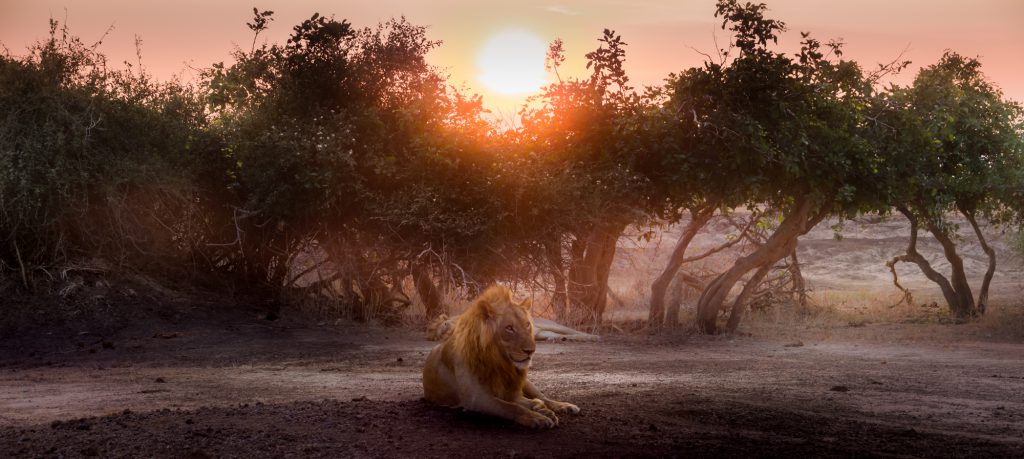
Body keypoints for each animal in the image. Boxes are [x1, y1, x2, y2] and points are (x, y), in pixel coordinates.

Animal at [419, 284, 581, 428]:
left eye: (527, 324)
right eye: (509, 328)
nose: (531, 350)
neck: (500, 362)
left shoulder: (510, 392)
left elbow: (523, 402)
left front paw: (541, 411)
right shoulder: (476, 397)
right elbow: (511, 407)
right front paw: (537, 417)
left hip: (526, 383)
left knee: (543, 397)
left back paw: (564, 406)